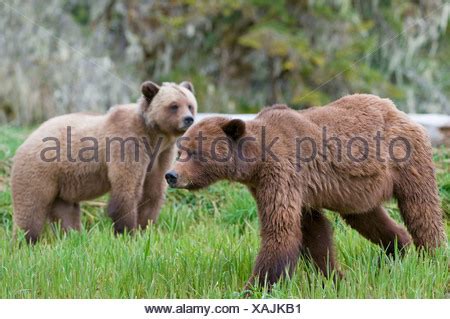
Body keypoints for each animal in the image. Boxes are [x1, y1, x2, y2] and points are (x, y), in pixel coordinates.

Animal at [10, 81, 196, 244]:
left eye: (190, 105)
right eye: (174, 105)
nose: (189, 119)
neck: (154, 136)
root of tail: (24, 143)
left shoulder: (161, 155)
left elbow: (153, 192)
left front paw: (144, 228)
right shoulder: (127, 144)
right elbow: (126, 190)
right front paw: (127, 233)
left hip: (61, 184)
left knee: (66, 213)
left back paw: (73, 238)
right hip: (40, 170)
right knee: (30, 209)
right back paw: (24, 242)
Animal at [165, 94, 446, 290]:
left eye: (195, 152)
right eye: (181, 150)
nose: (171, 175)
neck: (256, 163)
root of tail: (399, 111)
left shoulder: (282, 173)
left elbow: (281, 230)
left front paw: (253, 287)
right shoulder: (283, 188)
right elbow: (314, 232)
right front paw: (334, 277)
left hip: (405, 160)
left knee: (421, 209)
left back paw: (433, 257)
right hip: (358, 191)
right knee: (369, 218)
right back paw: (397, 248)